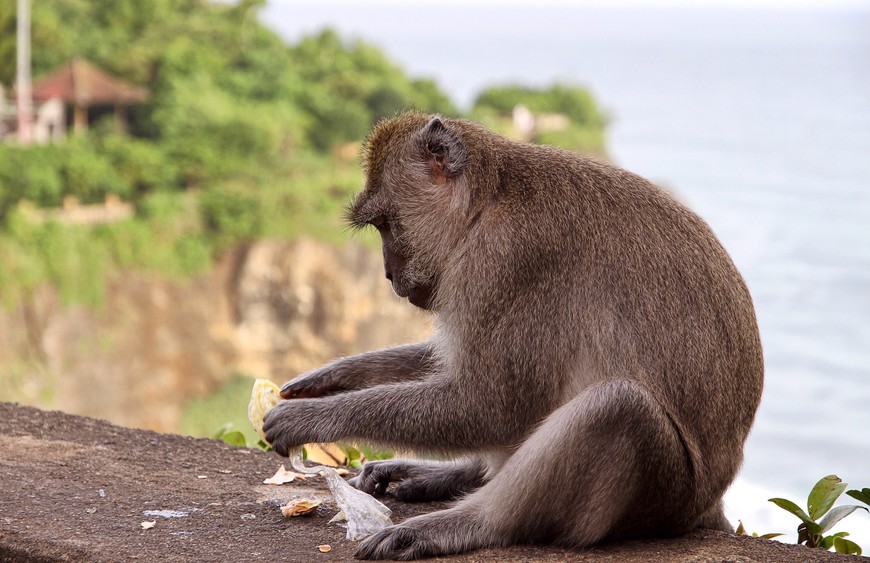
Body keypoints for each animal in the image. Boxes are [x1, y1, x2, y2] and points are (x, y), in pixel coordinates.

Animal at [262, 111, 768, 560]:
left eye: (387, 223)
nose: (387, 273)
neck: (487, 201)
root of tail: (708, 508)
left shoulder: (507, 261)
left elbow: (490, 404)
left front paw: (310, 417)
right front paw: (335, 375)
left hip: (664, 498)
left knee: (619, 409)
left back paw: (466, 523)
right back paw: (451, 475)